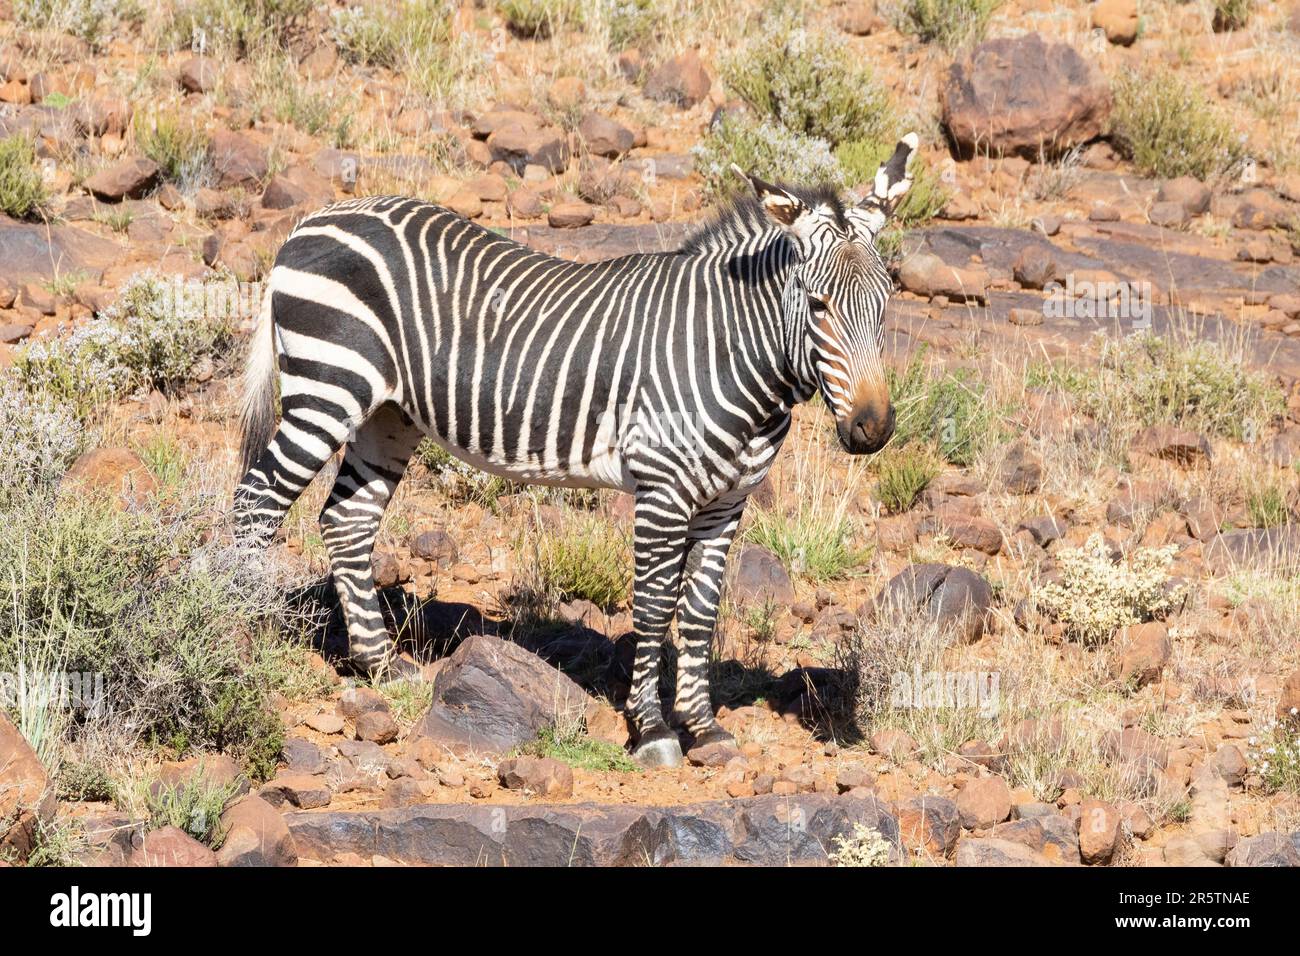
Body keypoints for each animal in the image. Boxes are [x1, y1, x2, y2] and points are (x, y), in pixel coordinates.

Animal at [233, 130, 920, 764]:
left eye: (886, 304)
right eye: (818, 305)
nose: (873, 430)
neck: (730, 354)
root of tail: (317, 217)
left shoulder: (727, 503)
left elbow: (699, 615)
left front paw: (704, 727)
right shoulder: (663, 491)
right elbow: (652, 608)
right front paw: (653, 730)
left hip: (388, 414)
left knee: (345, 519)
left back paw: (380, 665)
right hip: (328, 387)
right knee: (255, 505)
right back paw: (231, 637)